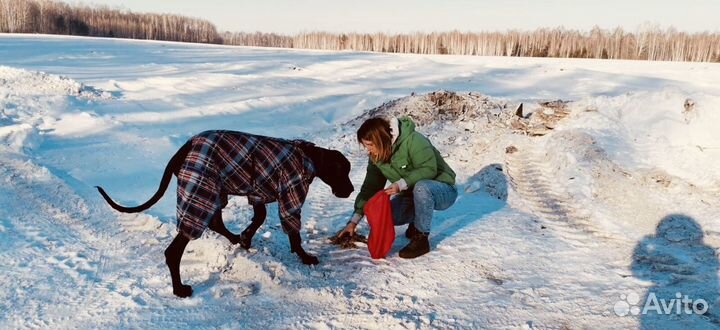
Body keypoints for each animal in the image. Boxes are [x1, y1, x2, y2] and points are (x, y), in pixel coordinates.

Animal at [95, 130, 354, 298]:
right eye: (342, 171)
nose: (351, 190)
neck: (308, 158)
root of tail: (184, 148)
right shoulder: (290, 196)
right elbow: (294, 234)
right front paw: (305, 257)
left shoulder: (257, 194)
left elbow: (259, 218)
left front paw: (246, 237)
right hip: (200, 193)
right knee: (175, 250)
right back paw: (180, 289)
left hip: (213, 193)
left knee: (216, 223)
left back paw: (236, 239)